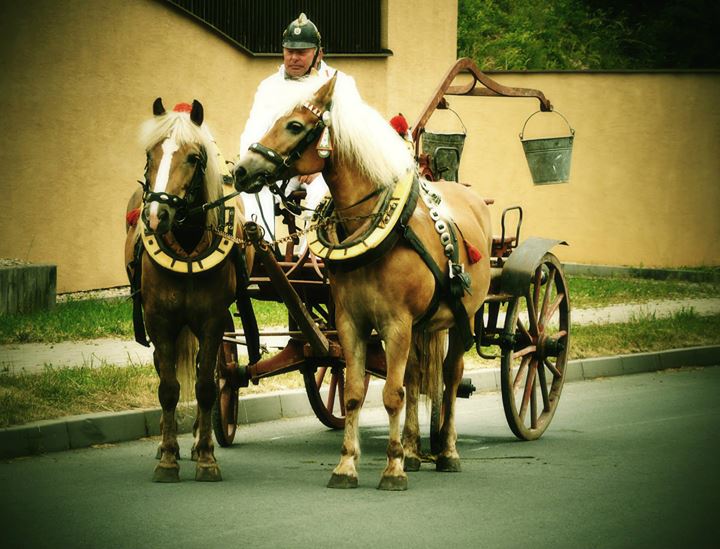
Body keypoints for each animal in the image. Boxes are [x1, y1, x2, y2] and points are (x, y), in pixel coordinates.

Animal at [124, 98, 248, 480]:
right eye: (150, 153)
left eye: (193, 157)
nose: (155, 215)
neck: (189, 244)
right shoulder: (159, 320)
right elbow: (168, 388)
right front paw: (167, 457)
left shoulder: (211, 322)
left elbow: (206, 386)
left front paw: (206, 456)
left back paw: (195, 443)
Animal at [233, 73, 492, 488]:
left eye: (295, 126)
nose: (241, 170)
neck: (373, 224)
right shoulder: (350, 322)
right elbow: (356, 392)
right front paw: (348, 465)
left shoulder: (397, 324)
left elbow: (391, 395)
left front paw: (392, 468)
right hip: (422, 326)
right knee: (416, 378)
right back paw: (414, 450)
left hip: (459, 320)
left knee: (450, 379)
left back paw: (447, 451)